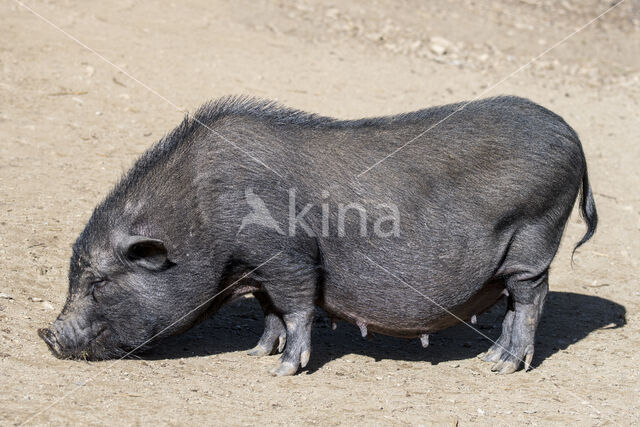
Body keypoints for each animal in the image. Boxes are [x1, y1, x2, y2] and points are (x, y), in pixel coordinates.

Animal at [40, 95, 596, 376]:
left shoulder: (288, 255)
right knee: (514, 305)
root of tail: (574, 136)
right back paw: (489, 357)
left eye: (100, 281)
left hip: (534, 238)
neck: (200, 215)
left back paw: (502, 368)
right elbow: (269, 311)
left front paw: (282, 371)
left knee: (531, 299)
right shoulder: (258, 268)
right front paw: (255, 355)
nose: (47, 335)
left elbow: (297, 307)